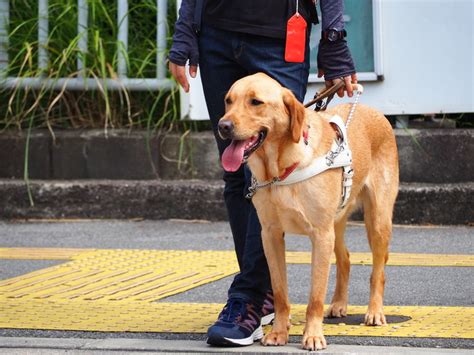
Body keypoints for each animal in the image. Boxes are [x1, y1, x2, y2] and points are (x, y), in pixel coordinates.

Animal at [218, 72, 400, 350]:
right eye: (228, 101)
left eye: (256, 102)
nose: (223, 125)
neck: (279, 171)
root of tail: (375, 111)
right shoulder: (270, 234)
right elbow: (280, 293)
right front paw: (278, 333)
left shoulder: (320, 235)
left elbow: (315, 297)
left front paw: (313, 335)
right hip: (336, 222)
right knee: (345, 259)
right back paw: (338, 304)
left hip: (376, 220)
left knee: (377, 271)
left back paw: (375, 311)